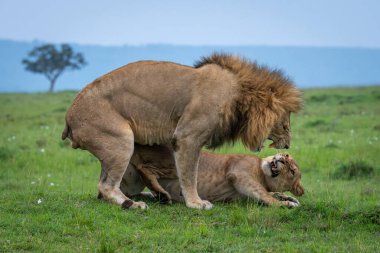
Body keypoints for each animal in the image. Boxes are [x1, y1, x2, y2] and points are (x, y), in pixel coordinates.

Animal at [120, 144, 304, 208]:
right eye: (287, 156)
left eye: (292, 171)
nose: (282, 158)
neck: (264, 176)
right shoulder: (238, 175)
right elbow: (265, 194)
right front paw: (287, 203)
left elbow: (271, 193)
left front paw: (290, 198)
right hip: (178, 162)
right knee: (145, 168)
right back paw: (162, 195)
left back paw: (157, 195)